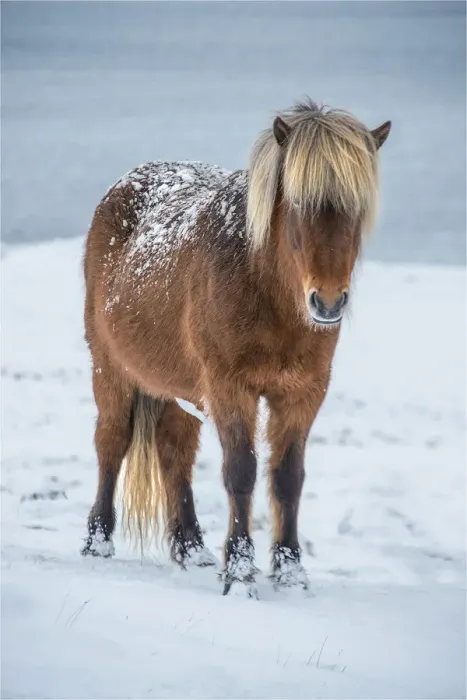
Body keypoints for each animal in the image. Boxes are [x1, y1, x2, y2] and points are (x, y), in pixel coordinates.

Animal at [82, 98, 391, 595]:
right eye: (298, 202)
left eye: (357, 208)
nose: (327, 302)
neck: (262, 286)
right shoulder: (231, 388)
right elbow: (241, 471)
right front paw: (241, 572)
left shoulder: (303, 394)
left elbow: (288, 478)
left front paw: (290, 570)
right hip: (110, 367)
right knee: (112, 443)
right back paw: (98, 541)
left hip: (182, 390)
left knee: (174, 452)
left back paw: (191, 548)